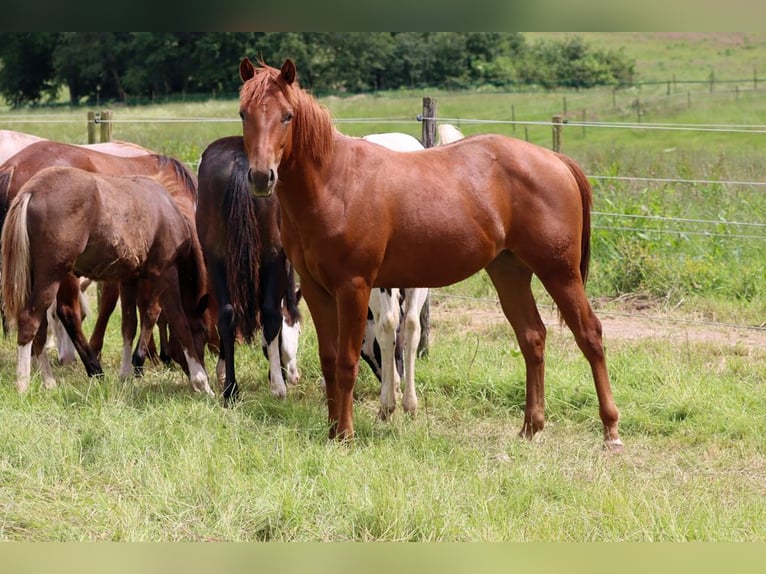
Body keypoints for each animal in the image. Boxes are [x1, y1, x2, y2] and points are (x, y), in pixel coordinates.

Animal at [0, 164, 213, 394]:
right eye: (203, 331)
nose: (208, 363)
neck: (167, 211)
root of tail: (32, 189)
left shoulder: (130, 278)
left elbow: (129, 324)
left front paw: (125, 375)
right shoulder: (166, 274)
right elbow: (180, 323)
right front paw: (202, 382)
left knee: (40, 329)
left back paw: (49, 382)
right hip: (51, 277)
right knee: (30, 321)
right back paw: (23, 385)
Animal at [196, 136, 302, 404]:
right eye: (298, 331)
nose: (295, 375)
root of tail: (239, 161)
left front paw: (223, 372)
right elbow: (274, 322)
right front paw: (277, 377)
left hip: (216, 258)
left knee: (226, 314)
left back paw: (231, 390)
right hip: (272, 257)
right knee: (270, 315)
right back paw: (278, 388)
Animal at [238, 59, 624, 454]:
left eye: (287, 116)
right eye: (244, 114)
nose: (261, 177)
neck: (336, 182)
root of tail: (556, 160)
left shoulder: (354, 288)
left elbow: (347, 362)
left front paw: (345, 434)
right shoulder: (318, 291)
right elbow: (330, 361)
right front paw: (333, 430)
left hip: (559, 272)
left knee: (590, 335)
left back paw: (610, 430)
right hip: (509, 272)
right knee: (532, 336)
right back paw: (531, 426)